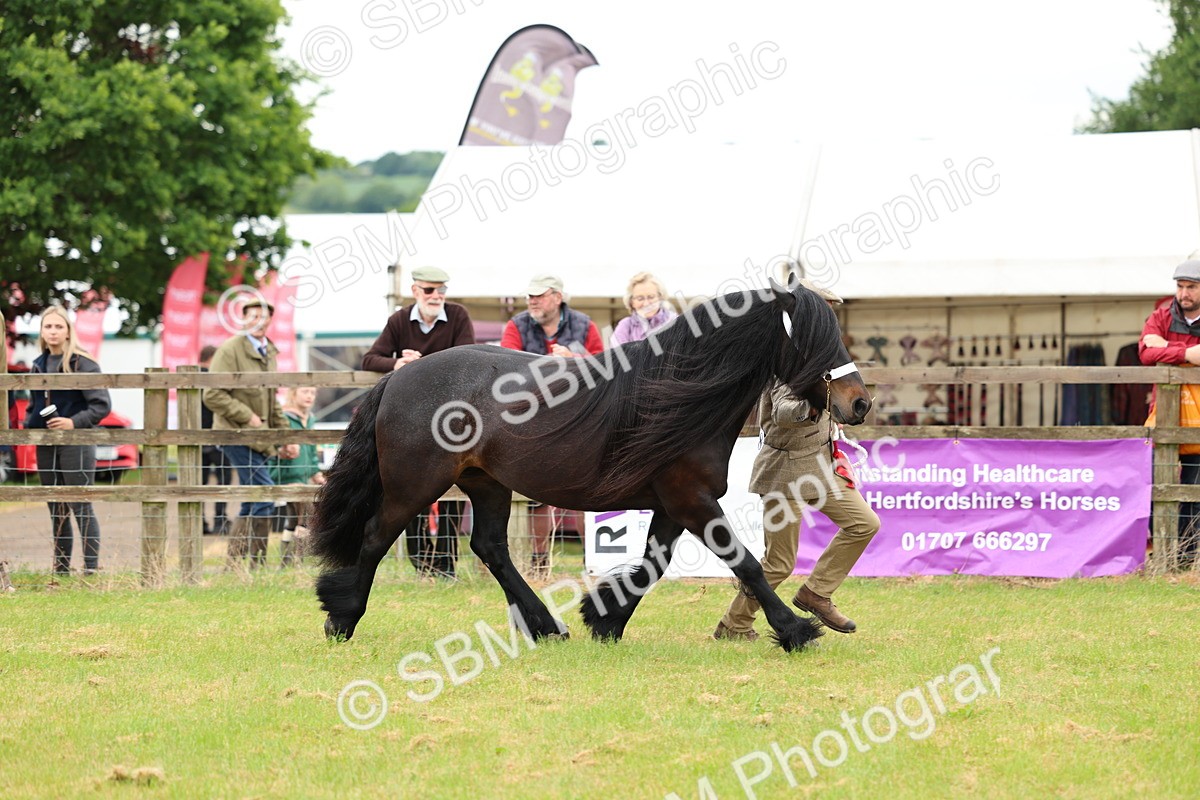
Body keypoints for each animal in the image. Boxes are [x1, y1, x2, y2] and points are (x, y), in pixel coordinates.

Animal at [310, 279, 872, 651]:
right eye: (814, 338)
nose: (860, 403)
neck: (677, 394)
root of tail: (399, 377)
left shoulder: (672, 504)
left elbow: (653, 563)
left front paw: (604, 620)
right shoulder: (691, 500)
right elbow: (746, 562)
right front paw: (796, 630)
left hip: (486, 483)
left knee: (490, 547)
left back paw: (545, 626)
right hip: (414, 486)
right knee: (375, 538)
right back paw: (342, 619)